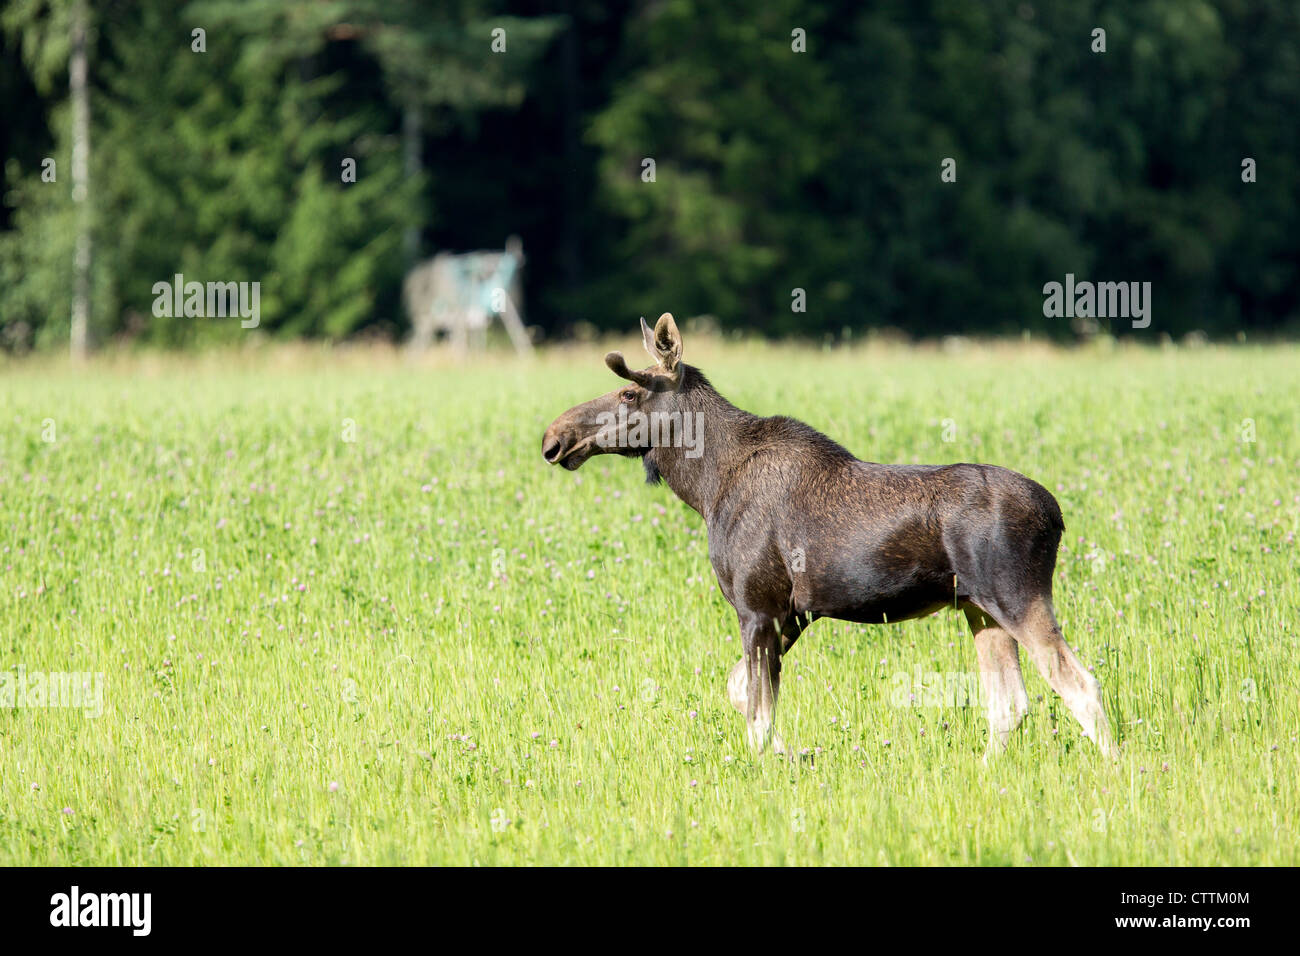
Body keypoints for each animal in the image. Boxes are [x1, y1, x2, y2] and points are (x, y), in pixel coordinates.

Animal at [538, 317, 1118, 759]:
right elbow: (741, 692)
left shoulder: (759, 605)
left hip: (1016, 596)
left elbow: (756, 709)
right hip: (979, 608)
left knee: (1080, 685)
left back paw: (1115, 773)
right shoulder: (792, 612)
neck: (706, 487)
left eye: (628, 390)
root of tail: (1056, 515)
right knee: (1010, 703)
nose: (554, 438)